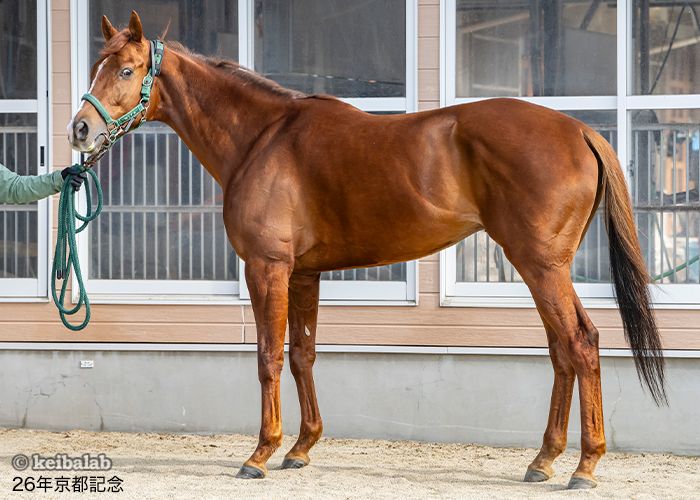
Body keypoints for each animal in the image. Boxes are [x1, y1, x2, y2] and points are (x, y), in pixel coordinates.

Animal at [68, 11, 666, 489]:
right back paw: (544, 459)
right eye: (98, 65)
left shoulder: (267, 269)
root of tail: (581, 131)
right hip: (542, 269)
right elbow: (303, 355)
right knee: (563, 350)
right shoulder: (304, 275)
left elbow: (267, 357)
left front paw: (260, 453)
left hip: (541, 266)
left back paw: (584, 466)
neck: (262, 138)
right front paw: (302, 448)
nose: (80, 129)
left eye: (126, 70)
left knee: (580, 344)